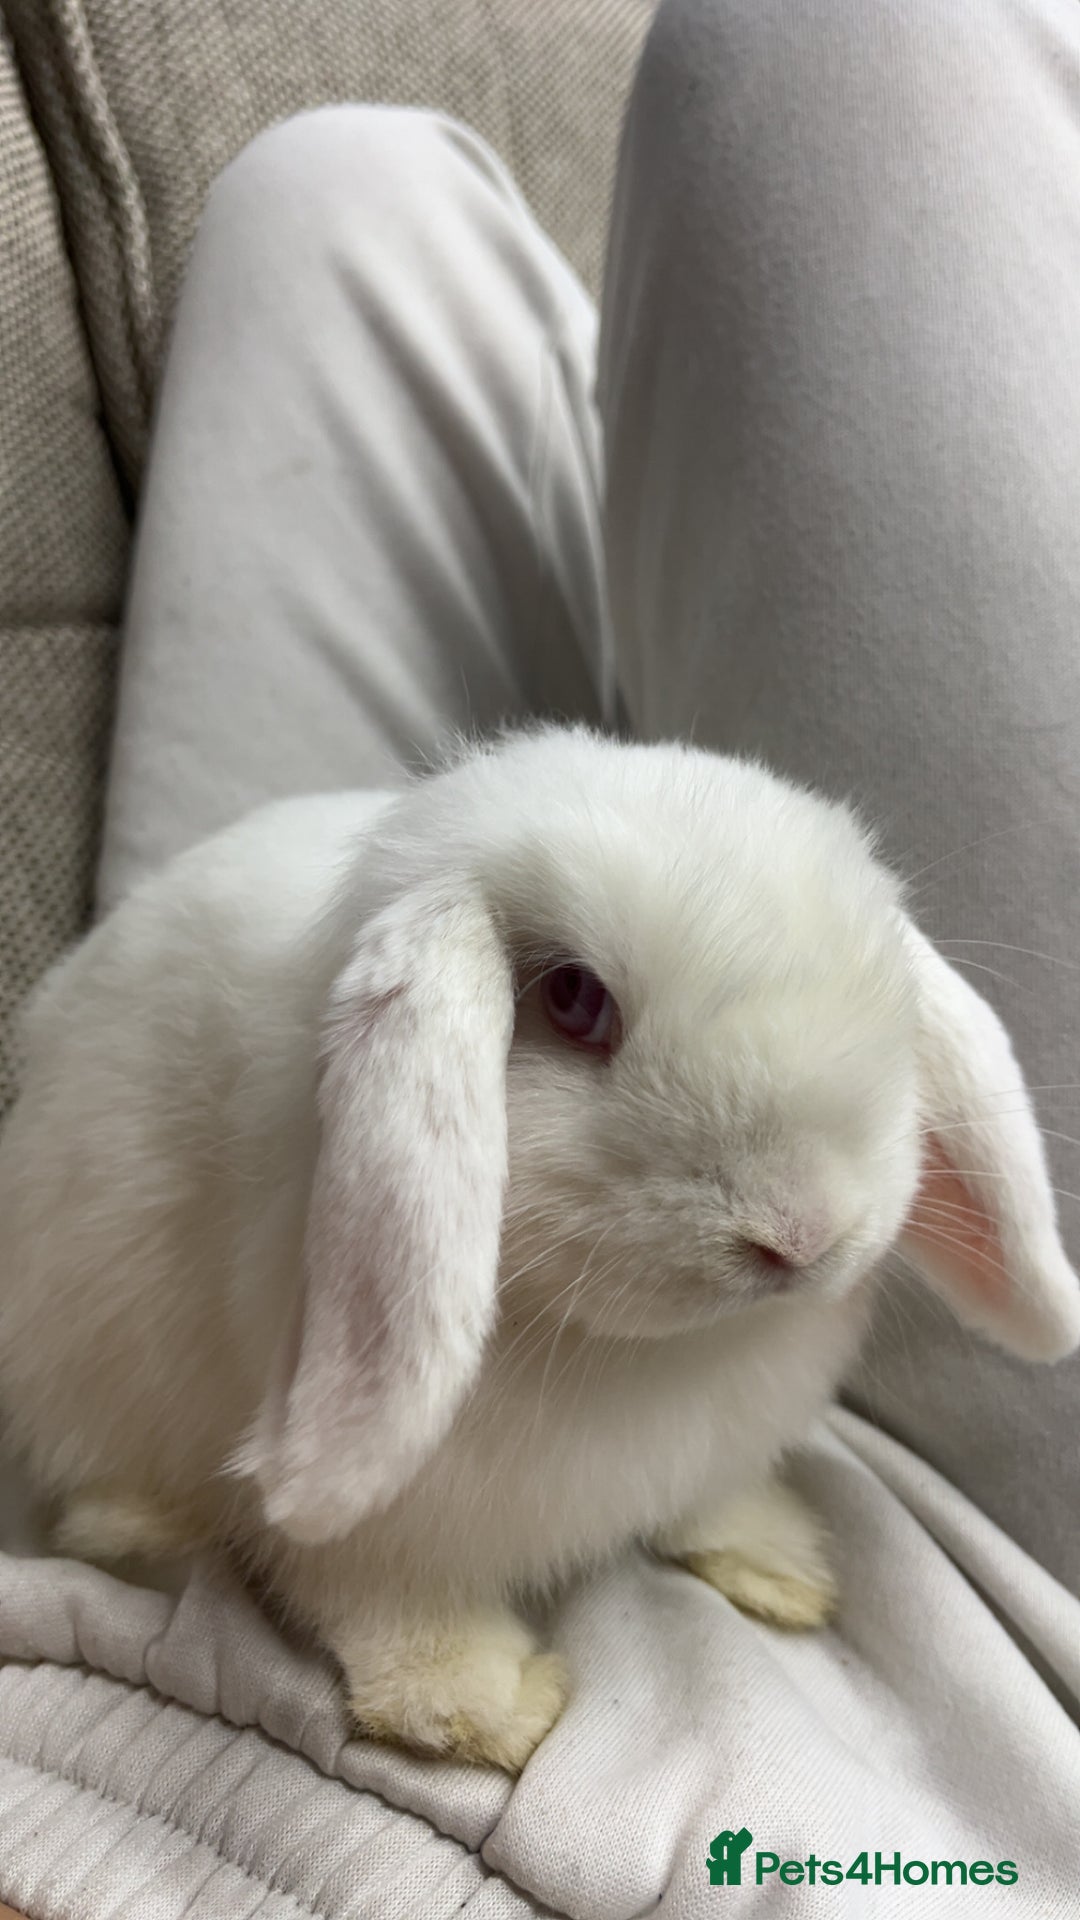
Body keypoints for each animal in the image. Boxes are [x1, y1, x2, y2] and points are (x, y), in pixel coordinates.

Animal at [0, 724, 1077, 1773]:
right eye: (573, 999)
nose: (800, 1235)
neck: (648, 1359)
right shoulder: (386, 1533)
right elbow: (383, 1604)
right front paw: (487, 1711)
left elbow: (714, 1504)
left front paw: (779, 1567)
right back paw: (136, 1522)